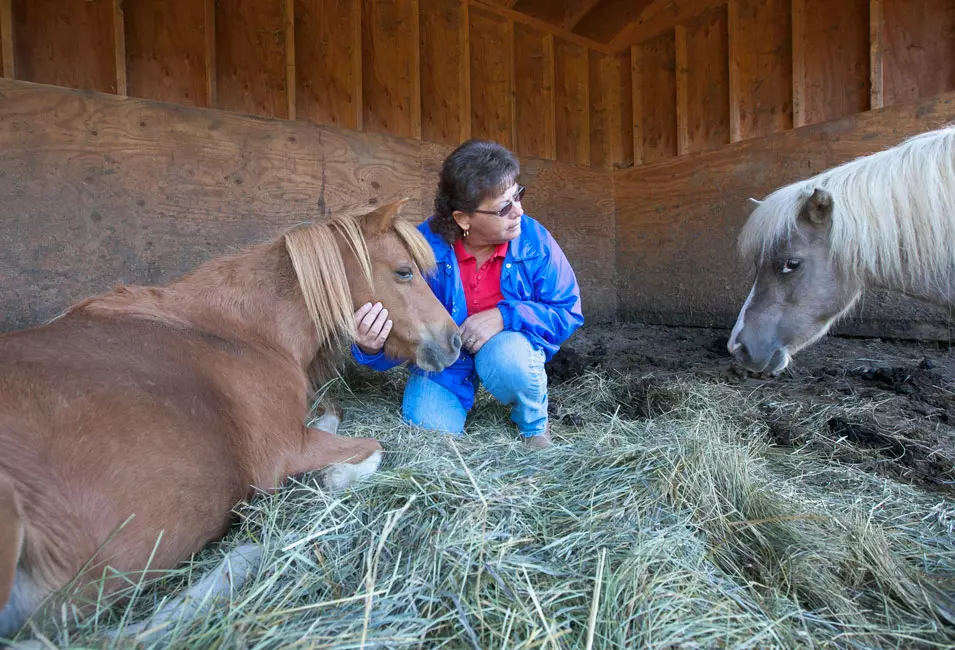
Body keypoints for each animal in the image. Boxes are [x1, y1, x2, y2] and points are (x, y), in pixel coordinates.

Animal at [0, 196, 464, 632]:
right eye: (404, 272)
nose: (455, 341)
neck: (241, 332)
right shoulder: (283, 451)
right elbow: (371, 445)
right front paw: (332, 478)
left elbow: (331, 412)